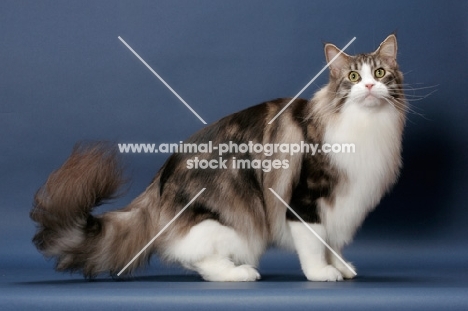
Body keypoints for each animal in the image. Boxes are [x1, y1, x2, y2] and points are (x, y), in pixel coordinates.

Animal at [31, 34, 406, 282]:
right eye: (353, 77)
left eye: (381, 74)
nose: (369, 87)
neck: (366, 125)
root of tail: (160, 181)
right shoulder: (305, 201)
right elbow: (315, 244)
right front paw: (321, 273)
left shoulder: (342, 203)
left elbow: (333, 242)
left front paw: (341, 267)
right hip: (231, 225)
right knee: (188, 254)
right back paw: (240, 273)